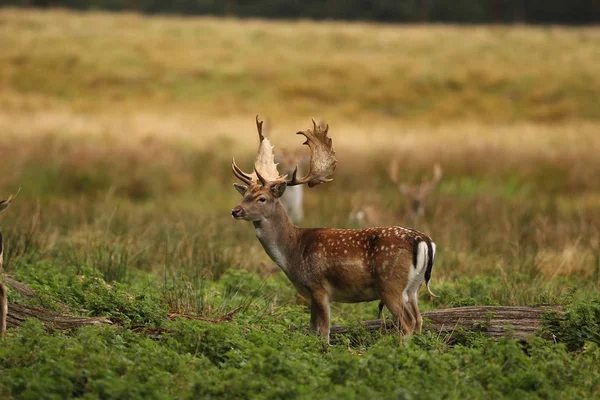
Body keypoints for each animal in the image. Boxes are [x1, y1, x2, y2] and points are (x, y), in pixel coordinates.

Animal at [231, 117, 436, 342]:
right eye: (245, 194)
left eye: (262, 198)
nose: (235, 210)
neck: (293, 251)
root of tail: (424, 241)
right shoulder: (310, 293)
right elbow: (312, 330)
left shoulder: (319, 287)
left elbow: (324, 332)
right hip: (414, 288)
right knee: (418, 319)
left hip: (391, 284)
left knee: (407, 322)